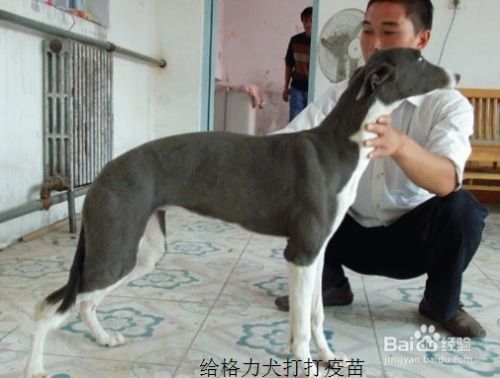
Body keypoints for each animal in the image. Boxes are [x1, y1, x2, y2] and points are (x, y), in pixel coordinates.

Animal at [26, 48, 458, 378]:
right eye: (420, 59)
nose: (455, 73)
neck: (341, 144)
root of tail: (101, 174)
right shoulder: (300, 253)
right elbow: (301, 325)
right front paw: (306, 364)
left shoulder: (317, 253)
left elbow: (316, 316)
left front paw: (329, 358)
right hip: (116, 248)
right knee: (50, 308)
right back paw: (35, 367)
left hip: (141, 252)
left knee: (82, 302)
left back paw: (103, 338)